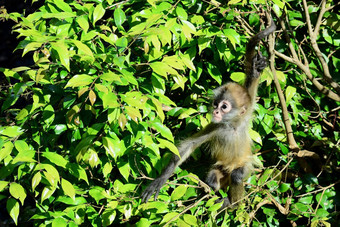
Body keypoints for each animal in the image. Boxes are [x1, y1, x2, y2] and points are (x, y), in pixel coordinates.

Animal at [141, 16, 276, 207]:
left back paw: (233, 204)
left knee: (237, 175)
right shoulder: (217, 126)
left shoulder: (247, 111)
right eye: (216, 104)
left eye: (224, 107)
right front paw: (160, 180)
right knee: (213, 179)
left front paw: (256, 69)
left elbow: (251, 83)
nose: (216, 112)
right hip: (219, 170)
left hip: (242, 167)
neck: (232, 126)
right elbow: (188, 146)